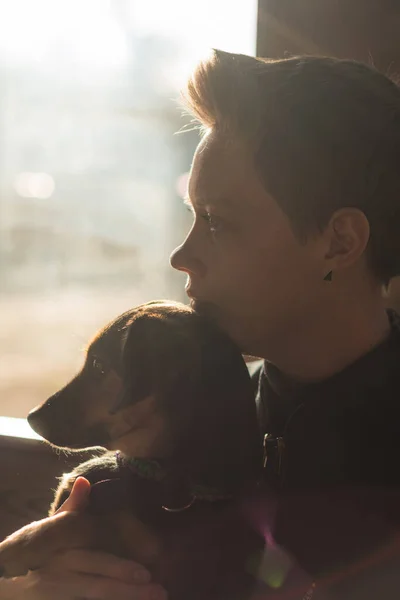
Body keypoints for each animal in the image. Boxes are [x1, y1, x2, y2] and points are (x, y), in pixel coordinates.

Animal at [0, 302, 264, 596]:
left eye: (99, 365)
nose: (31, 418)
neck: (141, 471)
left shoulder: (157, 563)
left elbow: (87, 523)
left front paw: (16, 547)